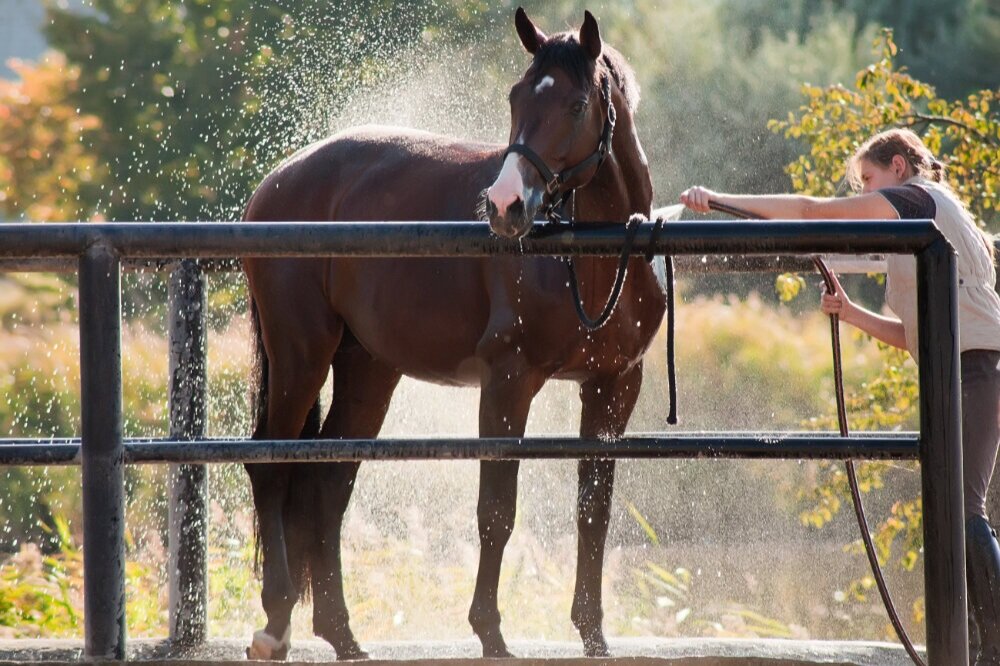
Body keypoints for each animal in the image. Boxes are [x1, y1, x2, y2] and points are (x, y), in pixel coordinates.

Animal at [240, 6, 664, 660]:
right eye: (516, 95)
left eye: (575, 105)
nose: (506, 206)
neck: (589, 259)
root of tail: (278, 181)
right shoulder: (509, 381)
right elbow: (496, 510)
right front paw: (490, 632)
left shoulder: (614, 386)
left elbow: (593, 510)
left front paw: (593, 634)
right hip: (300, 357)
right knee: (271, 466)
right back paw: (276, 622)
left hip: (367, 370)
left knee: (328, 481)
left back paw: (342, 634)